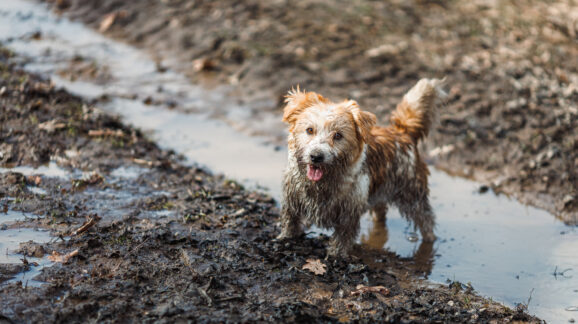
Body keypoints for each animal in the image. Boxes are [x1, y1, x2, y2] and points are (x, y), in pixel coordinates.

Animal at [276, 78, 444, 256]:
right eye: (309, 130)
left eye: (338, 135)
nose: (316, 156)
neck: (321, 185)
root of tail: (403, 132)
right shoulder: (291, 201)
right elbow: (290, 222)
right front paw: (286, 238)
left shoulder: (348, 214)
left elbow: (343, 237)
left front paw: (337, 255)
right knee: (381, 211)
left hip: (412, 194)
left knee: (426, 220)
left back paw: (429, 242)